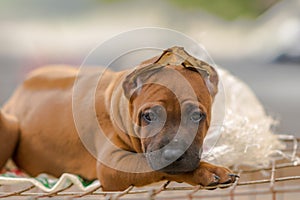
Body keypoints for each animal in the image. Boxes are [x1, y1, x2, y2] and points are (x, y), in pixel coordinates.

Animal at [0, 46, 237, 191]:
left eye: (197, 116)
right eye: (148, 116)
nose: (172, 154)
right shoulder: (114, 165)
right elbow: (153, 166)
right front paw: (207, 170)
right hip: (9, 126)